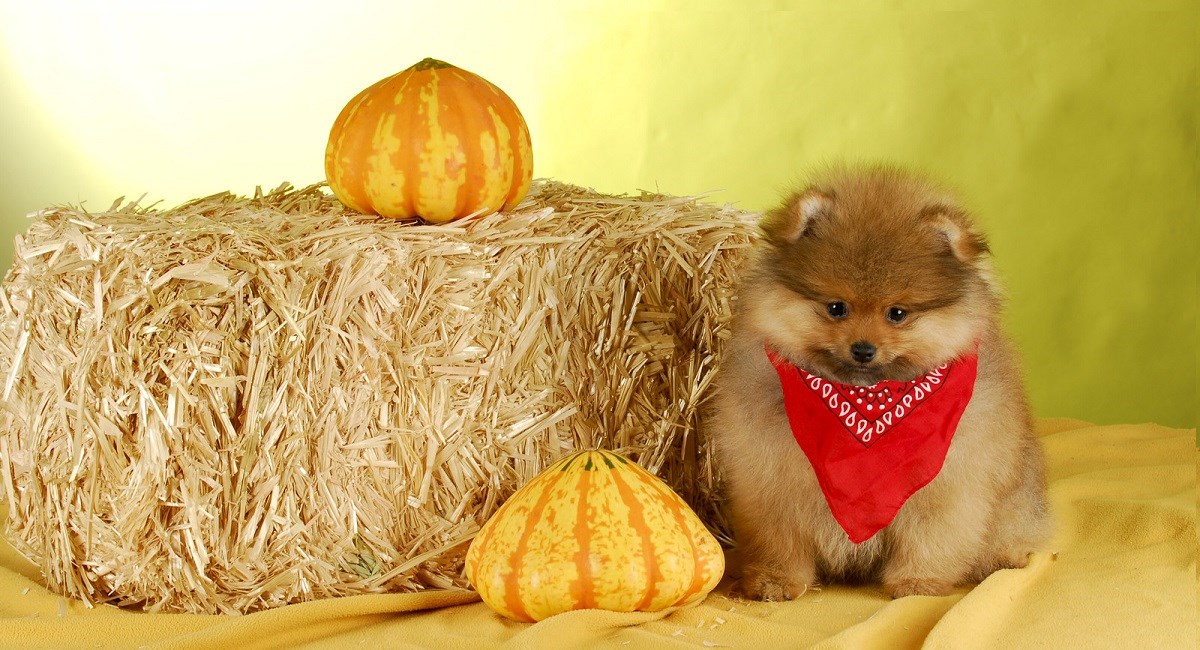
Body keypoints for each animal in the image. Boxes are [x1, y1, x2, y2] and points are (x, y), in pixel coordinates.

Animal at [710, 166, 1051, 602]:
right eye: (837, 308)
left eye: (897, 313)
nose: (863, 348)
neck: (867, 400)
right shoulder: (772, 480)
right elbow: (782, 540)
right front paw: (776, 581)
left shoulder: (947, 484)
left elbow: (931, 537)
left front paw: (918, 583)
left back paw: (1005, 558)